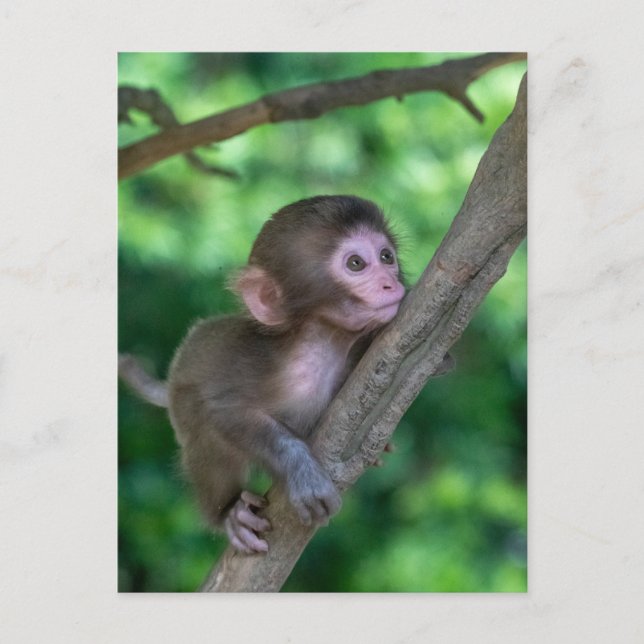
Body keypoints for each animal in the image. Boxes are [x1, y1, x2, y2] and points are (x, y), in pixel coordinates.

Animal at [165, 195, 406, 554]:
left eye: (386, 256)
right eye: (356, 264)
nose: (392, 283)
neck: (322, 347)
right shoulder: (256, 369)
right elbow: (223, 410)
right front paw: (301, 471)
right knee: (202, 427)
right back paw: (229, 513)